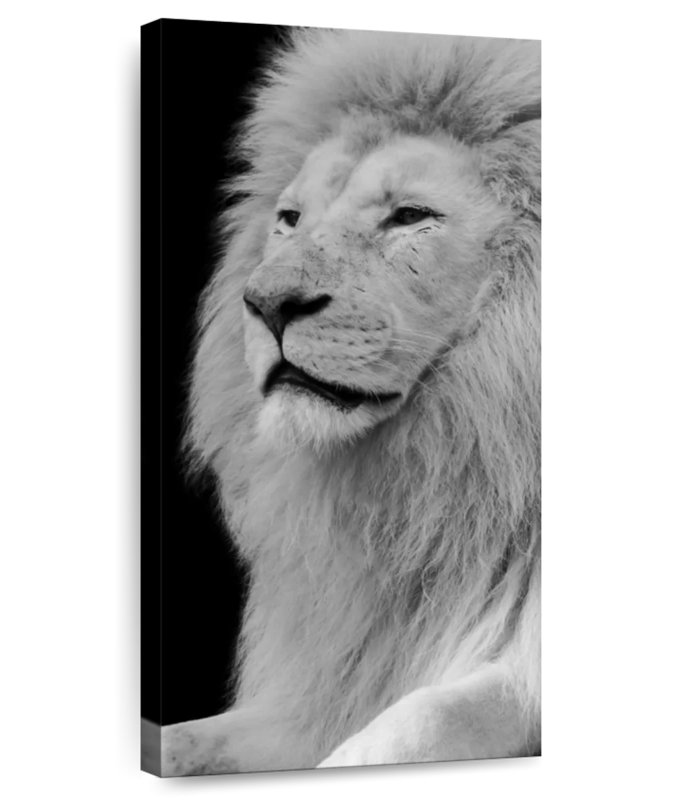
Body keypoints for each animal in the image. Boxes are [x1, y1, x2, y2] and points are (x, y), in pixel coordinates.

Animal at [161, 28, 540, 774]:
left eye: (409, 217)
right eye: (289, 219)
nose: (266, 303)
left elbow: (419, 721)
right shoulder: (328, 686)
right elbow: (186, 738)